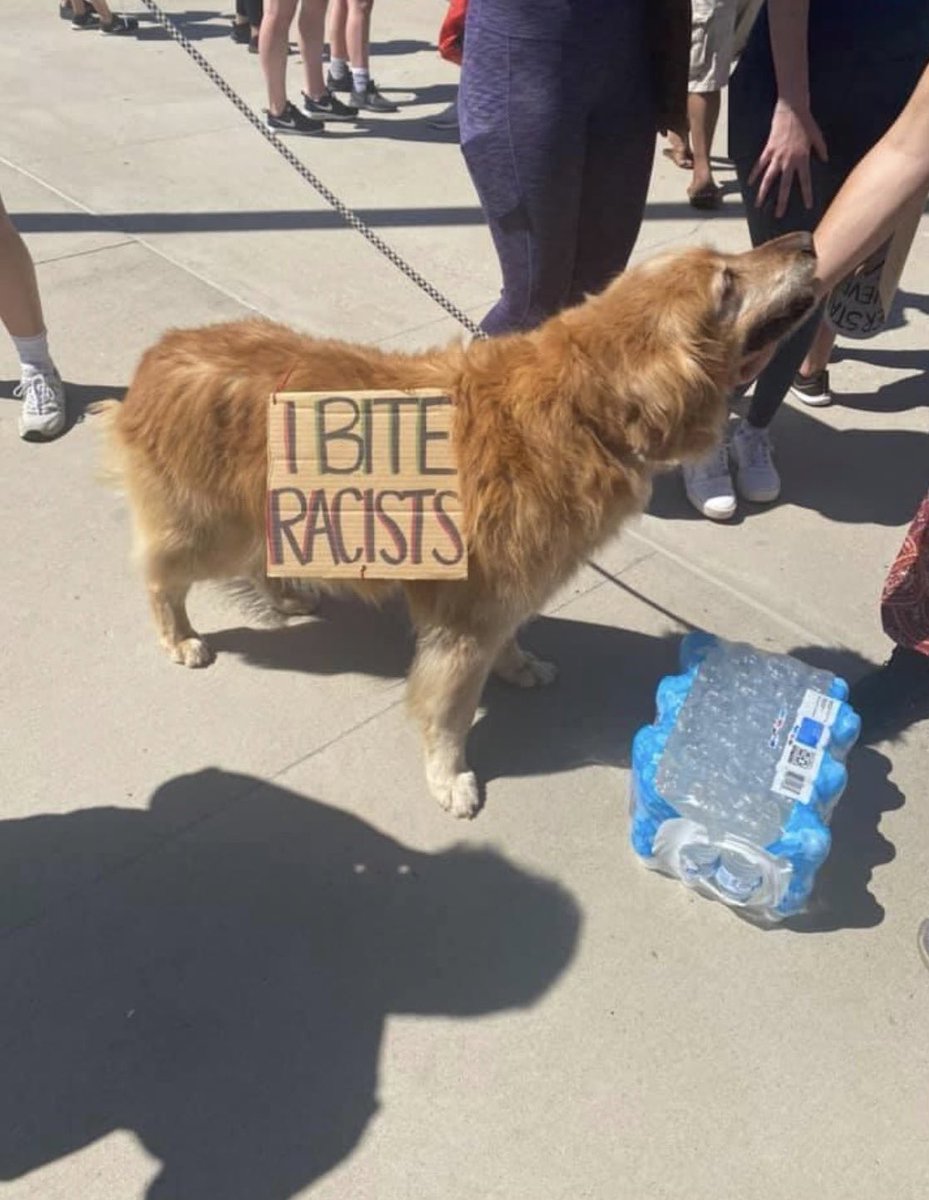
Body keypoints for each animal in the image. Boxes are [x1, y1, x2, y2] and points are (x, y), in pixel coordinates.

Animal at [98, 230, 820, 820]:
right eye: (726, 283)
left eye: (730, 262)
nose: (807, 239)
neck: (582, 409)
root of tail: (160, 352)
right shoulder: (464, 619)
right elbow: (449, 712)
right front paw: (449, 777)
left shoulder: (502, 595)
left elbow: (510, 640)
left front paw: (518, 664)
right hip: (213, 531)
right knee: (160, 577)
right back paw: (180, 636)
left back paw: (287, 595)